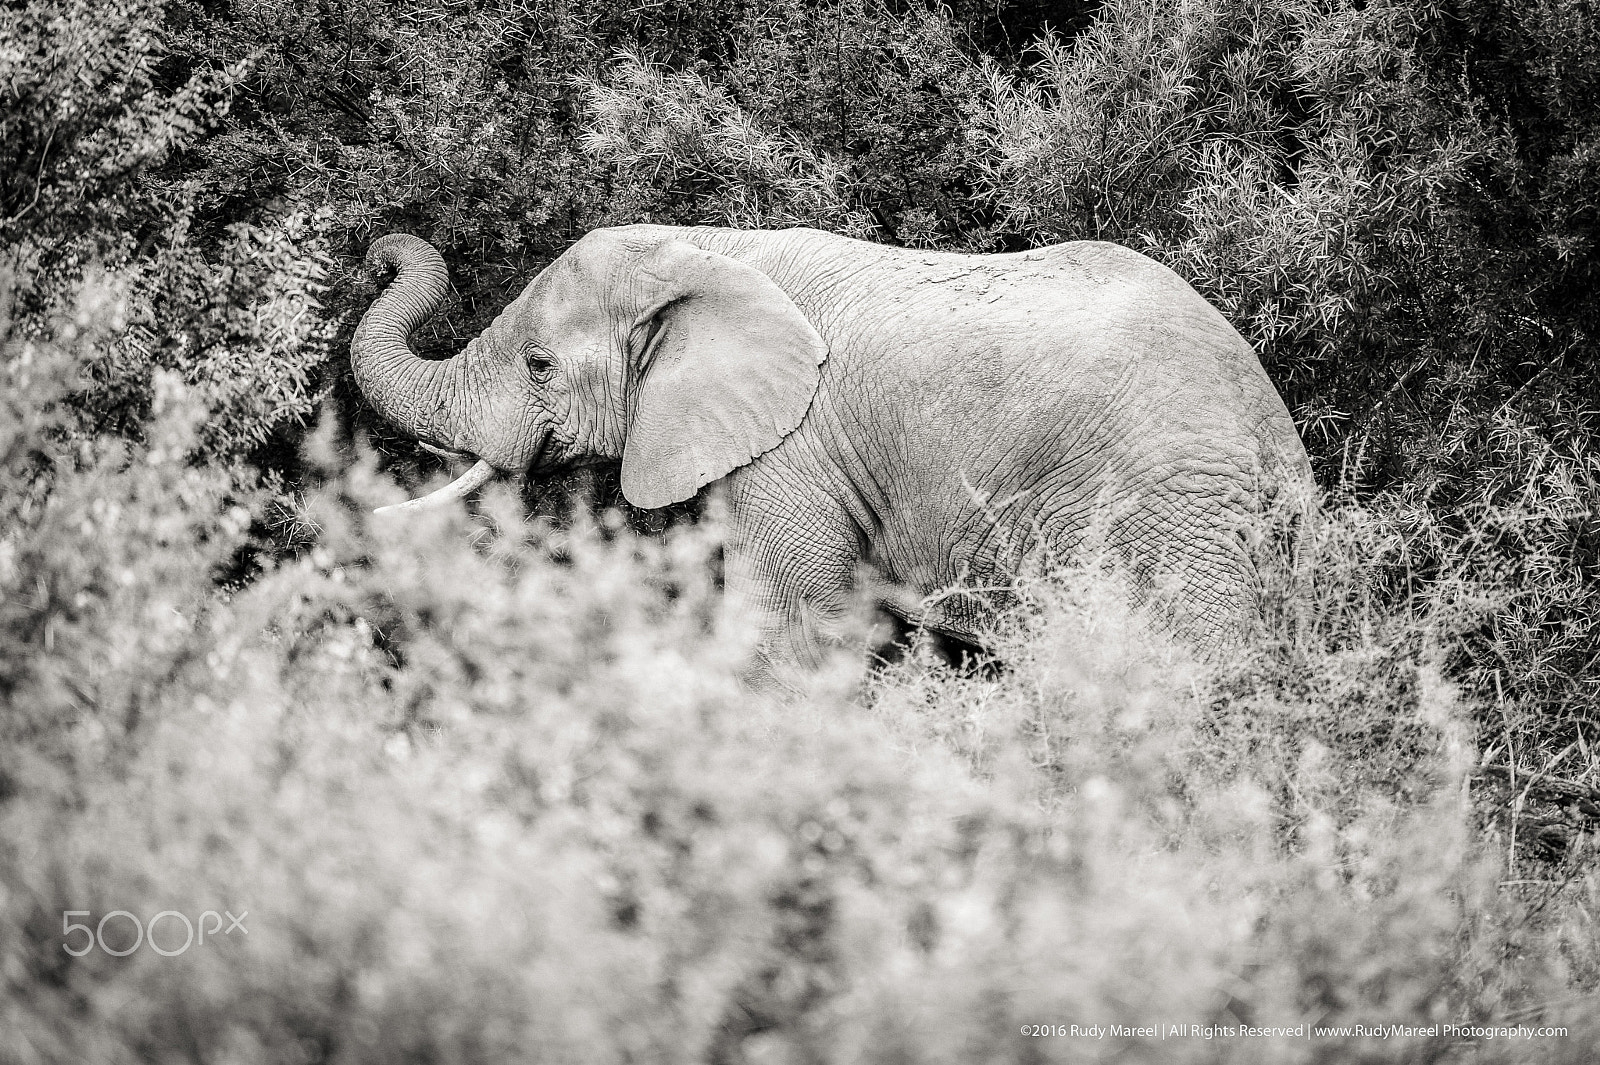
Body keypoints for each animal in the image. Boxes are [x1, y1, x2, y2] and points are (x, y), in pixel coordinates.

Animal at [351, 224, 1309, 679]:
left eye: (540, 366)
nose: (374, 254)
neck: (707, 250)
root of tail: (1273, 434)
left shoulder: (792, 453)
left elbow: (793, 626)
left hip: (1172, 515)